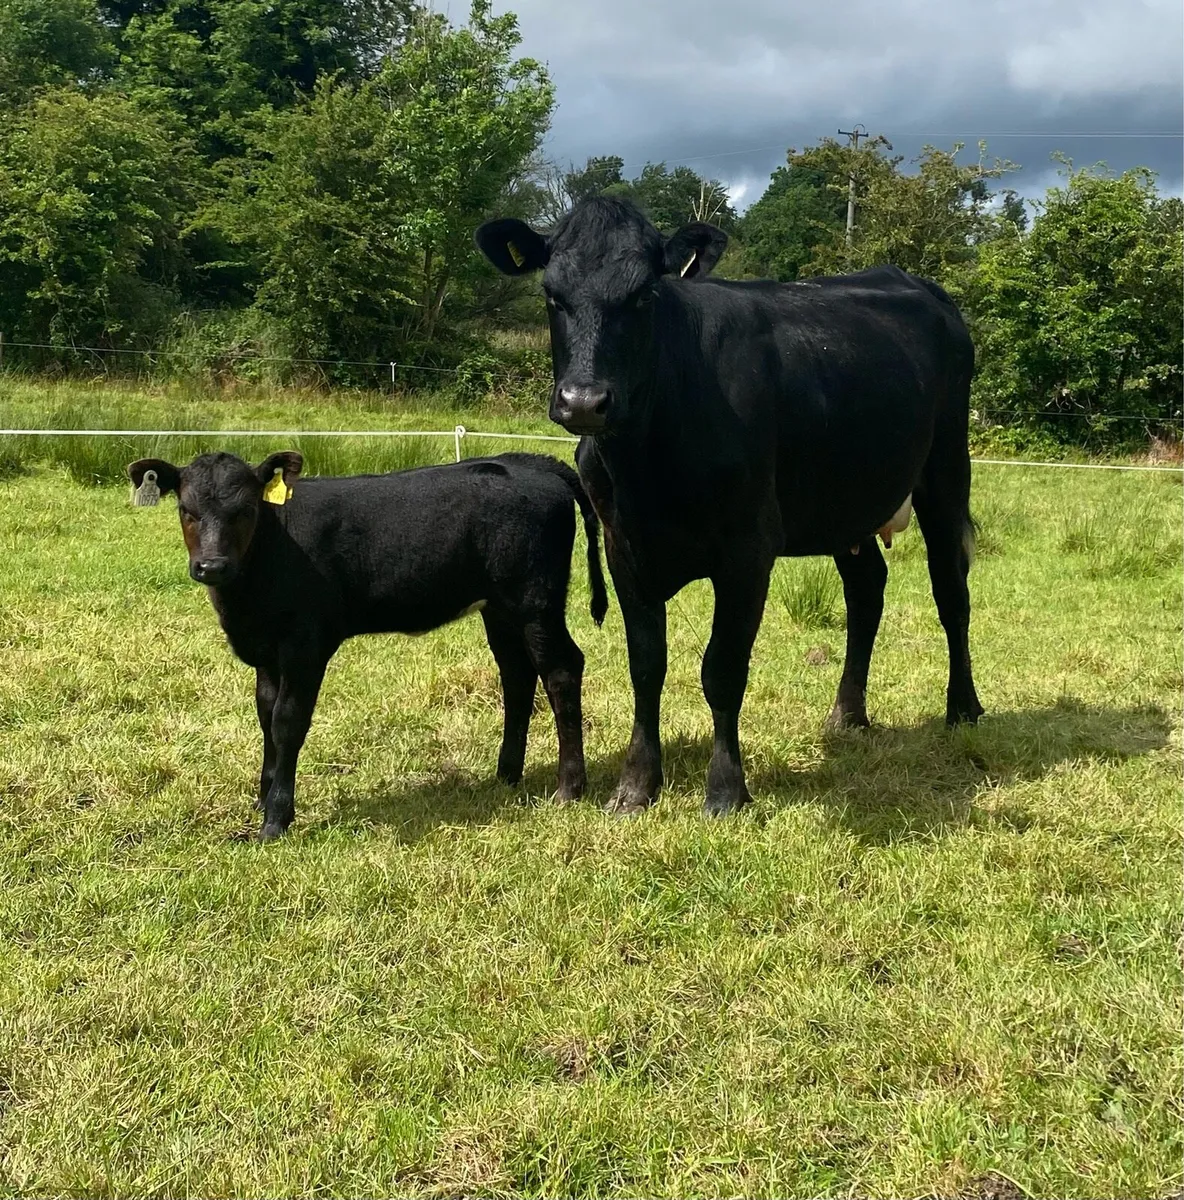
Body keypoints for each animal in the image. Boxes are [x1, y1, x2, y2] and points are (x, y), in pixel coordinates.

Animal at [127, 450, 608, 840]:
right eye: (186, 509)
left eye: (245, 509)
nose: (211, 566)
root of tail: (529, 463)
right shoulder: (266, 649)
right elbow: (264, 715)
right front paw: (263, 799)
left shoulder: (305, 645)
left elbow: (287, 722)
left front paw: (276, 819)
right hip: (501, 608)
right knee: (517, 676)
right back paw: (506, 774)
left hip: (536, 601)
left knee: (561, 670)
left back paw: (569, 787)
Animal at [475, 196, 983, 818]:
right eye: (551, 293)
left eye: (644, 294)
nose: (584, 401)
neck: (648, 467)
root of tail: (916, 283)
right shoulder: (624, 548)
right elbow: (647, 664)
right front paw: (636, 785)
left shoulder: (748, 549)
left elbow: (722, 668)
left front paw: (724, 790)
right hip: (845, 500)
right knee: (866, 591)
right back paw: (847, 715)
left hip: (946, 469)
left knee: (950, 592)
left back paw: (963, 707)